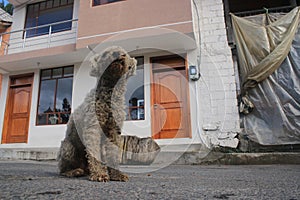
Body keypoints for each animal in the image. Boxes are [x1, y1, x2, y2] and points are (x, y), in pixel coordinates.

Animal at [57, 46, 137, 182]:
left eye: (124, 54)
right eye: (105, 53)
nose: (117, 54)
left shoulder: (114, 131)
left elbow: (113, 154)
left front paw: (117, 174)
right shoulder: (92, 127)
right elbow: (93, 152)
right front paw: (99, 174)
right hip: (68, 147)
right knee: (62, 169)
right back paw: (74, 171)